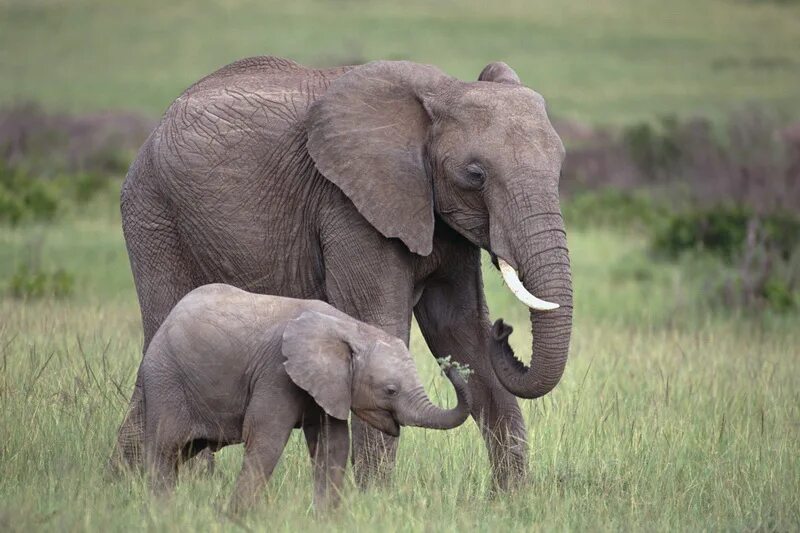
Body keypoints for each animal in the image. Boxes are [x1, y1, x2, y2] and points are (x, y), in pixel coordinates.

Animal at [115, 56, 572, 488]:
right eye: (475, 176)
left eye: (560, 167)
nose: (504, 330)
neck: (444, 92)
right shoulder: (348, 205)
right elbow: (383, 325)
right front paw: (374, 499)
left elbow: (459, 331)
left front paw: (509, 500)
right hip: (154, 215)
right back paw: (174, 483)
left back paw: (129, 478)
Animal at [141, 282, 472, 512]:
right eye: (390, 390)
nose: (450, 364)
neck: (351, 327)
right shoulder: (276, 372)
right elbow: (266, 440)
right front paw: (233, 515)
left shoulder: (329, 385)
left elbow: (333, 445)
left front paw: (326, 518)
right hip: (165, 380)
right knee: (164, 451)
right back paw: (162, 511)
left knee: (180, 452)